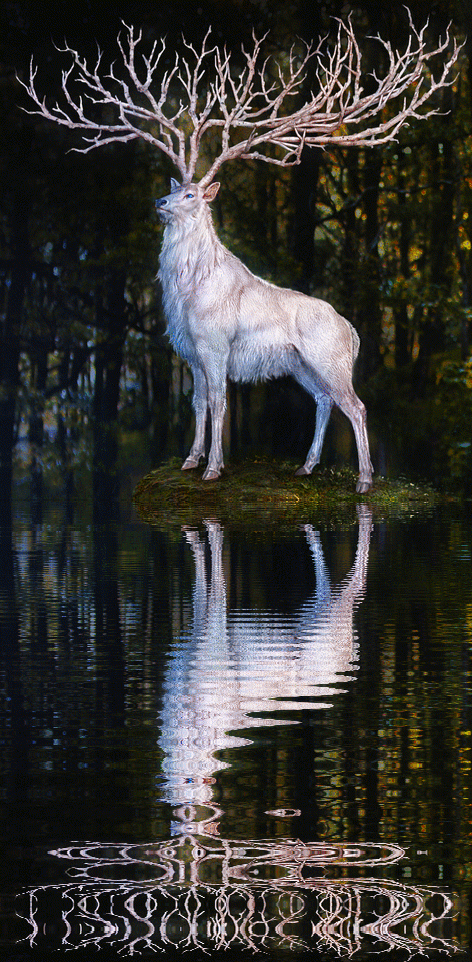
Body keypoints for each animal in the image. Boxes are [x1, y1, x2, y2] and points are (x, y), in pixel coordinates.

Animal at [19, 18, 460, 492]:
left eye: (191, 194)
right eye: (174, 186)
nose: (160, 202)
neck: (187, 294)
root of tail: (353, 333)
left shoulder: (215, 344)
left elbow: (219, 402)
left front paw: (214, 467)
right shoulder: (190, 350)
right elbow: (196, 402)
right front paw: (190, 460)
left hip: (330, 359)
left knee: (356, 405)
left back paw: (363, 480)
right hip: (302, 366)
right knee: (325, 401)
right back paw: (306, 466)